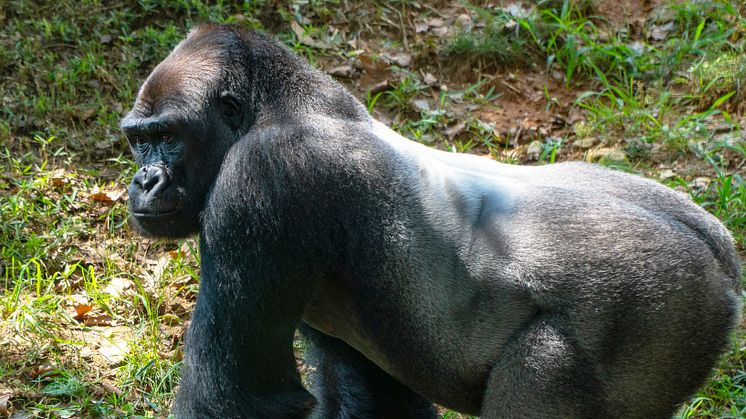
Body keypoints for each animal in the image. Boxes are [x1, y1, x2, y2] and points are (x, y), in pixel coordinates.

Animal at [120, 24, 740, 418]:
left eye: (168, 137)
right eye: (137, 141)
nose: (143, 181)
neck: (280, 106)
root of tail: (721, 257)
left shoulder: (263, 179)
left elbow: (239, 399)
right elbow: (370, 396)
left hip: (660, 303)